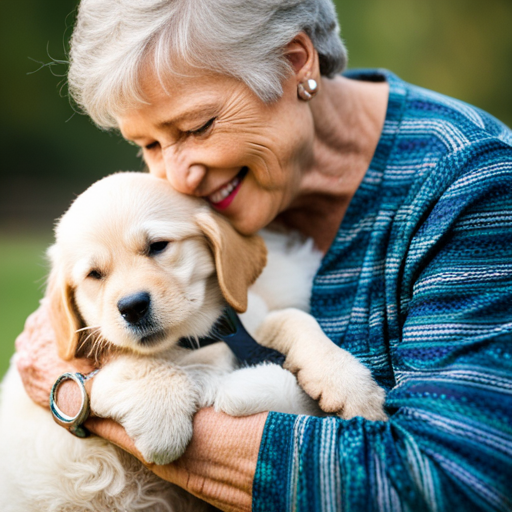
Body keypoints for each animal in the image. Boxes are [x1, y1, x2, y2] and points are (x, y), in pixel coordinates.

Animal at [0, 173, 384, 512]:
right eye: (94, 275)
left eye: (158, 246)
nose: (132, 307)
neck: (195, 337)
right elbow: (137, 360)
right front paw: (162, 421)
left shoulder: (246, 326)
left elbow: (294, 319)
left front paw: (348, 384)